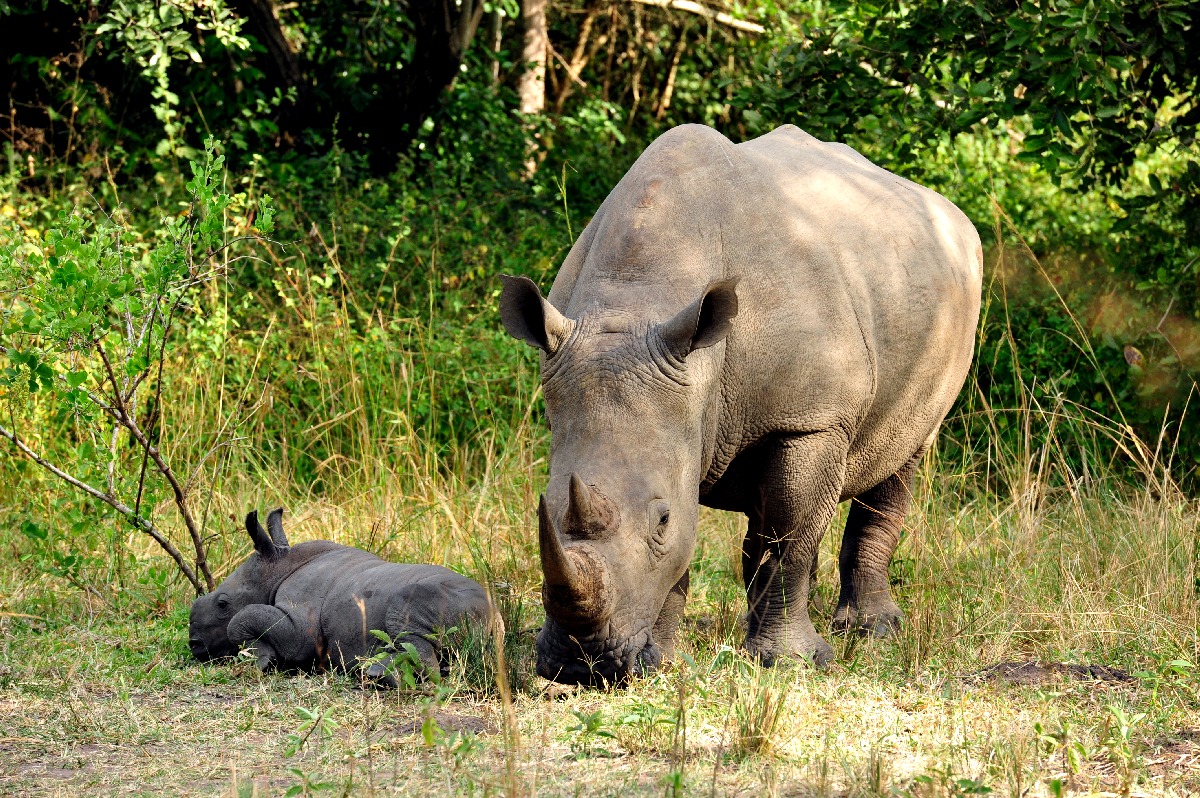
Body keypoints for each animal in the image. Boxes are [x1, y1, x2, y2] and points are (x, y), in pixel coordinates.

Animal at [187, 511, 487, 686]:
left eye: (223, 604)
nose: (195, 646)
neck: (278, 568)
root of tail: (493, 616)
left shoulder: (300, 633)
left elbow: (241, 619)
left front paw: (259, 661)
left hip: (449, 600)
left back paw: (374, 675)